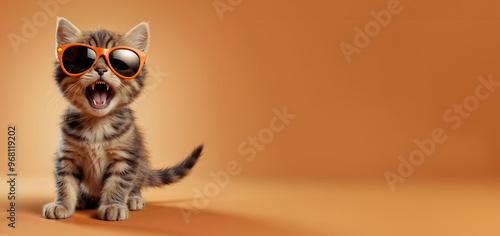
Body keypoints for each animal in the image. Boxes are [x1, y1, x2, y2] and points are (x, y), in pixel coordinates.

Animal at [42, 18, 203, 221]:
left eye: (118, 63)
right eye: (83, 60)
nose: (101, 69)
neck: (97, 124)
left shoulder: (126, 158)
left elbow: (118, 183)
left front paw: (113, 205)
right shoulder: (66, 156)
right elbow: (65, 182)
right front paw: (62, 204)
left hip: (141, 162)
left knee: (136, 184)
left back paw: (133, 198)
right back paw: (82, 198)